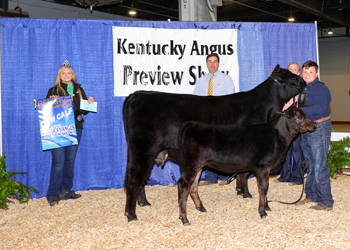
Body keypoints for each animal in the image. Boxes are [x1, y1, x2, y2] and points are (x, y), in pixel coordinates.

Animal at [123, 64, 306, 221]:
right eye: (291, 76)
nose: (304, 81)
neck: (264, 108)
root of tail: (136, 95)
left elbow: (242, 173)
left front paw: (240, 191)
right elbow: (245, 173)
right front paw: (246, 194)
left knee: (139, 178)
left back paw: (144, 203)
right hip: (143, 150)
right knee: (135, 178)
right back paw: (131, 214)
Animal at [178, 105, 318, 225]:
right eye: (299, 116)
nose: (315, 124)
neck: (277, 137)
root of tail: (192, 124)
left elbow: (266, 188)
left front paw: (267, 206)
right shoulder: (262, 167)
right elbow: (263, 188)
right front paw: (262, 211)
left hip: (198, 166)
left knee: (193, 186)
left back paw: (200, 207)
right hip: (192, 164)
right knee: (183, 185)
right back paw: (184, 218)